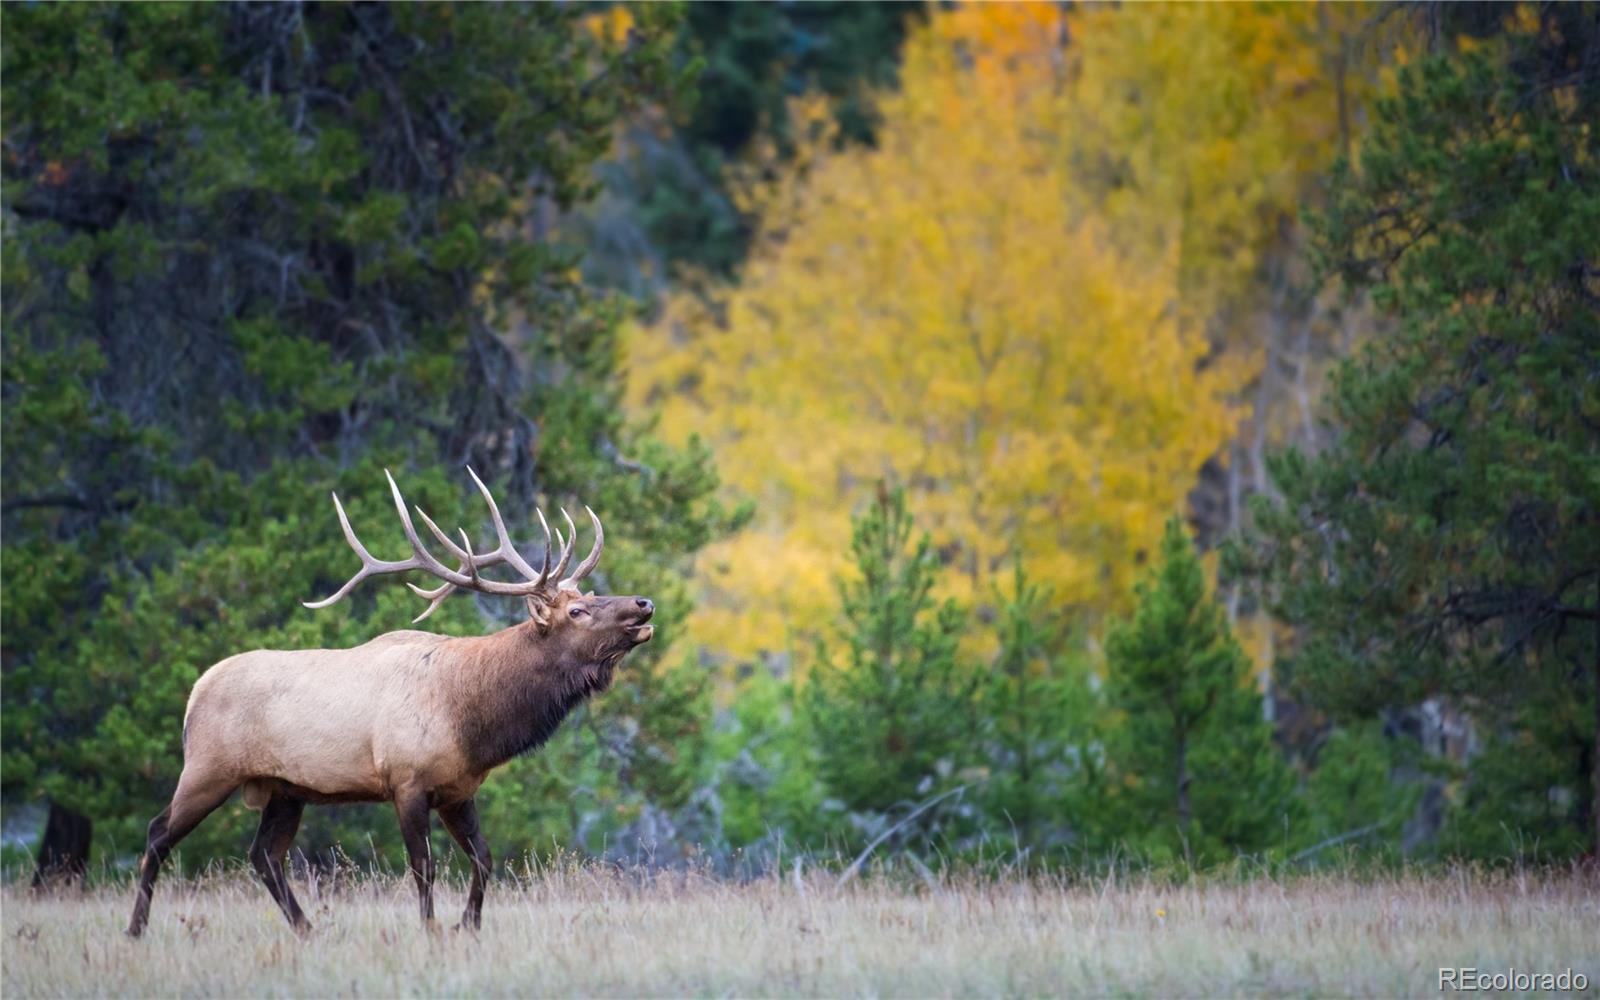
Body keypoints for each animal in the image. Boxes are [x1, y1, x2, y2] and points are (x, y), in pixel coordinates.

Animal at [121, 467, 652, 934]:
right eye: (577, 611)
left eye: (592, 595)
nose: (643, 604)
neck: (473, 720)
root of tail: (194, 693)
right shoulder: (406, 780)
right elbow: (424, 866)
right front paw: (432, 929)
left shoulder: (458, 789)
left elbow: (484, 858)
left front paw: (467, 925)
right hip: (209, 767)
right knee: (157, 833)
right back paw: (136, 928)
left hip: (284, 788)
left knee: (264, 855)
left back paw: (306, 929)